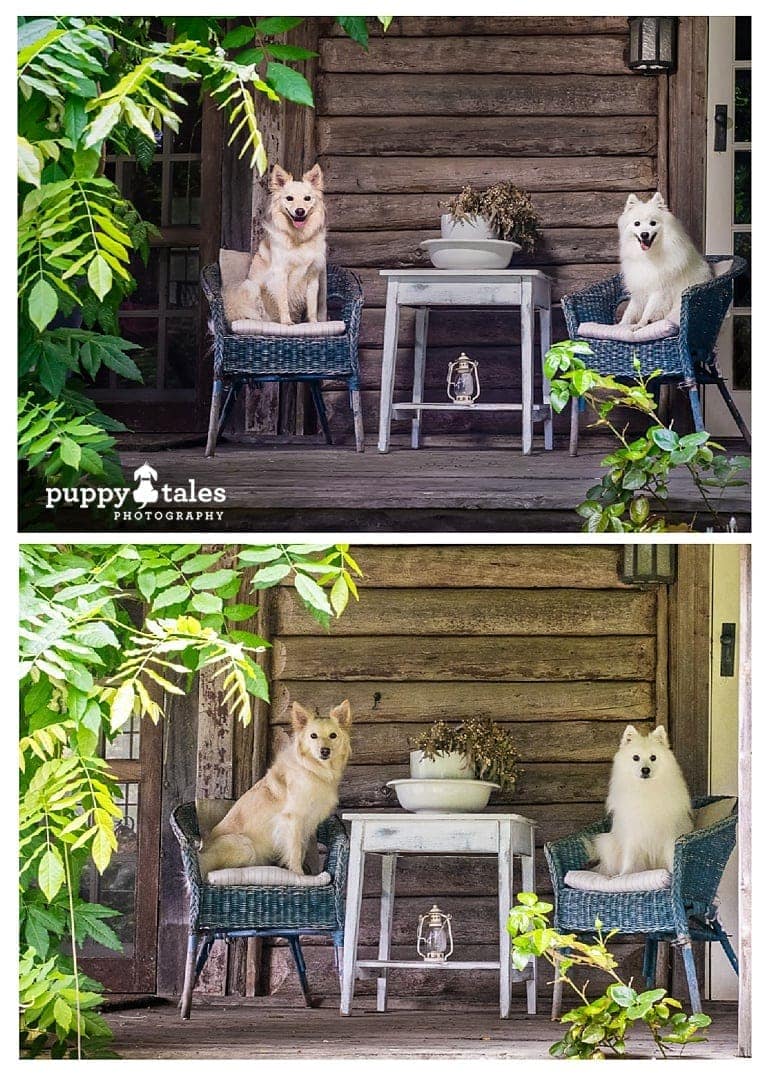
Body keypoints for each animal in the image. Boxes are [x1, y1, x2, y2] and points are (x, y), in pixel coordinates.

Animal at [198, 699, 354, 876]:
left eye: (333, 735)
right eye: (313, 736)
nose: (325, 751)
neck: (313, 769)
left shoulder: (307, 824)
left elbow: (302, 849)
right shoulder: (293, 818)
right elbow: (295, 850)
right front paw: (299, 874)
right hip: (245, 846)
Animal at [223, 162, 328, 326]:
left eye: (307, 198)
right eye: (289, 198)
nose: (300, 211)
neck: (299, 237)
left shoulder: (313, 276)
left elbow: (312, 305)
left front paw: (314, 323)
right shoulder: (280, 273)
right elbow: (283, 301)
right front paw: (286, 322)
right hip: (251, 286)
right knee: (256, 315)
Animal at [591, 721, 695, 872]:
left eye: (653, 757)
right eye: (636, 757)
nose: (645, 770)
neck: (646, 789)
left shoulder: (669, 835)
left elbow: (671, 857)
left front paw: (672, 873)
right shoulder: (632, 834)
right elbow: (628, 859)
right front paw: (625, 874)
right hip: (607, 843)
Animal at [617, 194, 708, 328]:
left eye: (653, 223)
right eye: (637, 223)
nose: (644, 234)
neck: (648, 256)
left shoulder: (659, 290)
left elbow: (647, 311)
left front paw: (639, 325)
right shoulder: (639, 288)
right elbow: (630, 311)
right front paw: (620, 325)